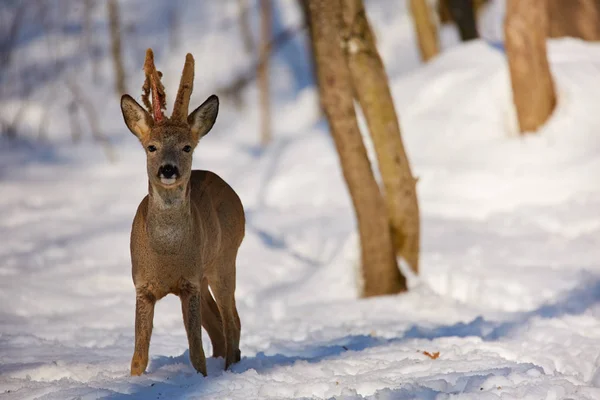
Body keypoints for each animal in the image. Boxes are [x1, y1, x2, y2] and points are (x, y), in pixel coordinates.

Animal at [120, 49, 245, 376]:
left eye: (187, 147)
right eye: (151, 147)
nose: (168, 169)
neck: (166, 252)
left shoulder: (189, 282)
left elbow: (196, 351)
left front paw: (200, 377)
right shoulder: (142, 285)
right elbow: (139, 354)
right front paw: (134, 379)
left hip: (224, 260)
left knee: (232, 320)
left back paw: (230, 369)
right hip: (205, 274)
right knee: (218, 324)